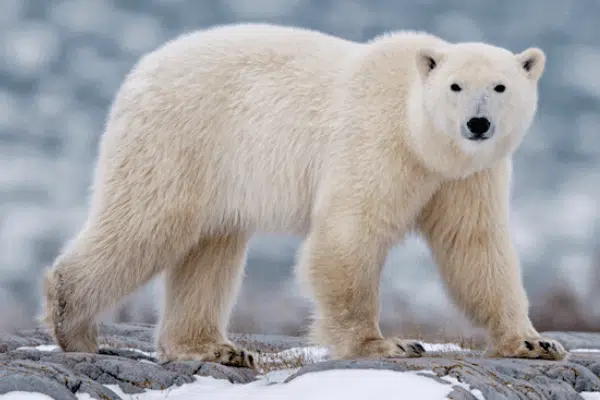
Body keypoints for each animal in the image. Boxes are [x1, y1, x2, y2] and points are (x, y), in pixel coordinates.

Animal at [42, 21, 568, 366]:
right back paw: (74, 325)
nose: (477, 124)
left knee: (210, 249)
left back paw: (215, 347)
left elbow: (475, 247)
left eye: (500, 87)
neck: (421, 139)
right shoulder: (376, 143)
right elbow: (349, 235)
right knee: (146, 224)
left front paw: (534, 342)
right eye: (455, 86)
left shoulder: (467, 177)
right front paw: (387, 344)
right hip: (181, 139)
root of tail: (140, 71)